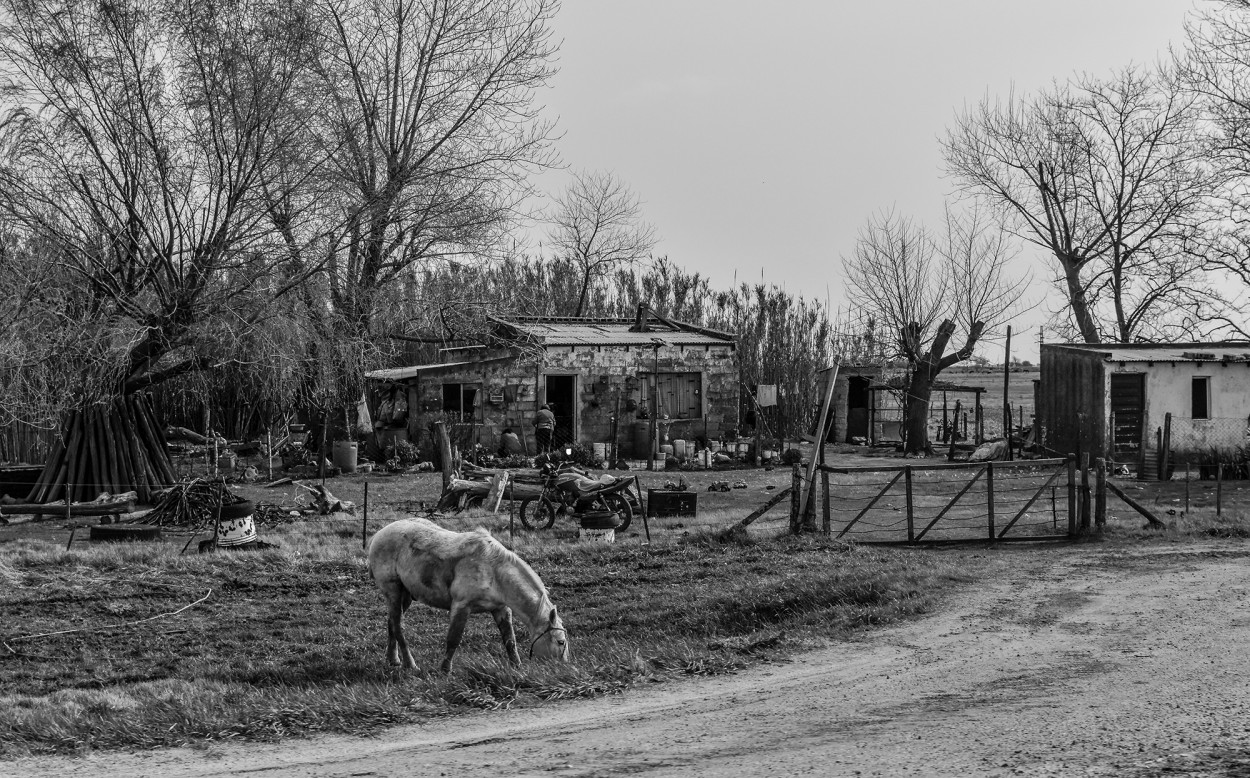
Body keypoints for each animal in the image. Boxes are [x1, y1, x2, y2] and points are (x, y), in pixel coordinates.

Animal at [365, 517, 572, 670]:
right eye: (561, 642)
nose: (563, 666)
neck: (494, 571)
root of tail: (378, 535)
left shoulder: (501, 609)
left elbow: (510, 640)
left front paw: (517, 667)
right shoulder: (461, 607)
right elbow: (453, 639)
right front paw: (445, 670)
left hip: (405, 596)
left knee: (391, 623)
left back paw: (393, 659)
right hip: (393, 591)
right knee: (397, 626)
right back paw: (410, 664)